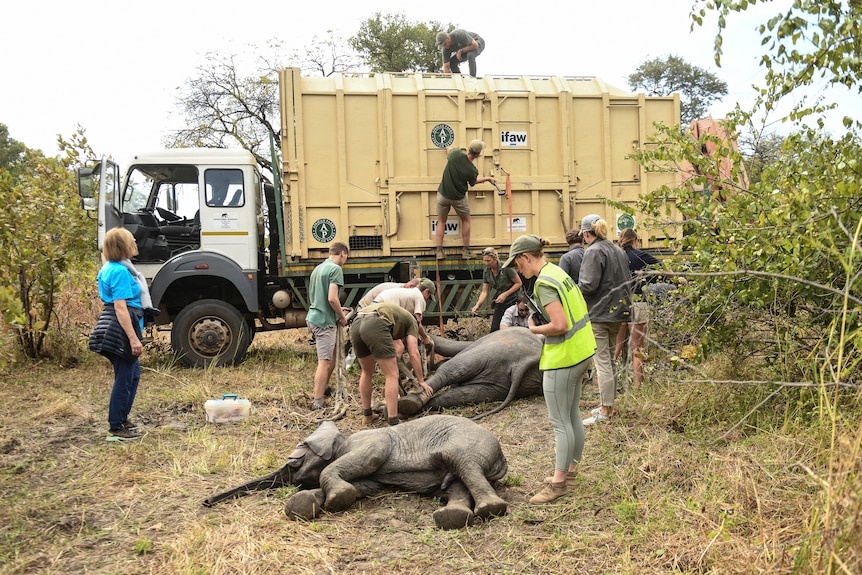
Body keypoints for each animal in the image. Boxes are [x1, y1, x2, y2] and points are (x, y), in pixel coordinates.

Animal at [206, 414, 510, 532]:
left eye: (293, 465)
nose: (206, 503)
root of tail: (501, 459)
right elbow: (365, 485)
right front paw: (305, 505)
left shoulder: (371, 441)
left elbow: (369, 457)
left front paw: (334, 499)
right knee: (455, 484)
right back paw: (452, 517)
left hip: (468, 443)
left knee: (463, 464)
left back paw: (490, 509)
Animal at [396, 328, 540, 424]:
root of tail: (520, 363)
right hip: (502, 384)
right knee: (468, 394)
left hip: (493, 351)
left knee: (450, 369)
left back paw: (406, 403)